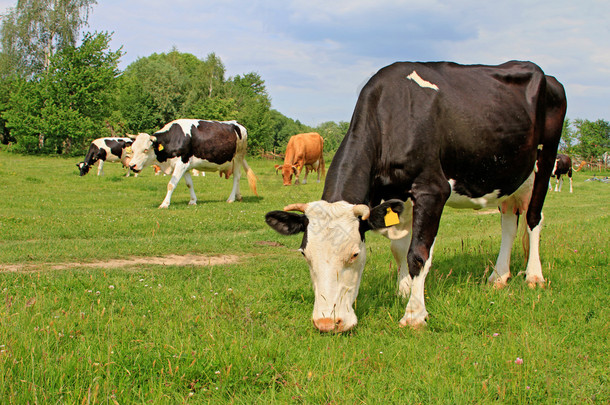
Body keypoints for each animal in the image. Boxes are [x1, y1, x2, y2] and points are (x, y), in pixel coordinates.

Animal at [128, 117, 256, 207]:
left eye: (145, 150)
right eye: (133, 149)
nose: (131, 165)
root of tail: (237, 124)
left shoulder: (181, 163)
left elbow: (171, 184)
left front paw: (164, 204)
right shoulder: (185, 166)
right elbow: (189, 184)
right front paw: (193, 200)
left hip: (238, 156)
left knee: (237, 177)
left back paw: (231, 198)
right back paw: (238, 196)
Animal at [266, 60, 564, 332]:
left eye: (354, 254)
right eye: (305, 254)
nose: (327, 323)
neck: (393, 114)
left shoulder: (433, 189)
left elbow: (417, 254)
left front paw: (414, 313)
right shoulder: (397, 198)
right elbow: (399, 249)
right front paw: (404, 289)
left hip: (547, 157)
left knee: (534, 217)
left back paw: (534, 276)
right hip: (508, 176)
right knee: (509, 223)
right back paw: (499, 277)